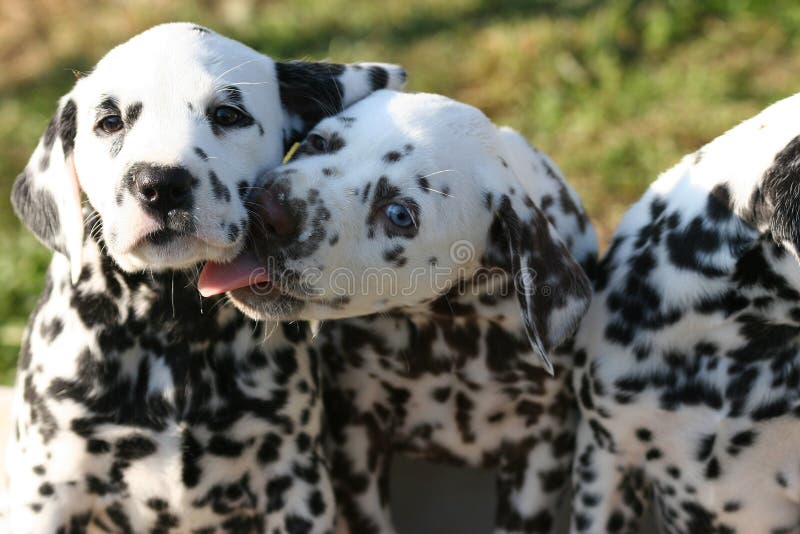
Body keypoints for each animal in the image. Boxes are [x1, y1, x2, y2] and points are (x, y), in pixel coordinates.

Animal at [7, 22, 406, 534]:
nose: (160, 185)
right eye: (110, 122)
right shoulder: (50, 484)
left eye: (228, 114)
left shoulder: (293, 480)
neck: (170, 324)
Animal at [198, 90, 600, 532]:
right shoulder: (355, 434)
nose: (268, 210)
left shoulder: (540, 455)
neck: (449, 338)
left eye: (399, 214)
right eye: (318, 142)